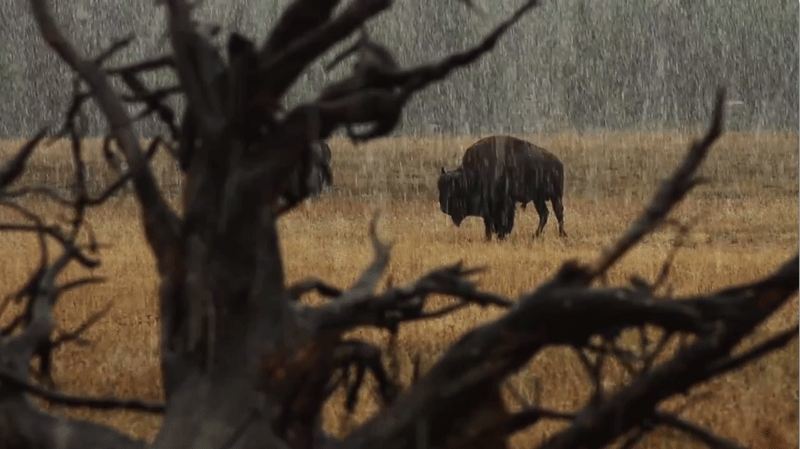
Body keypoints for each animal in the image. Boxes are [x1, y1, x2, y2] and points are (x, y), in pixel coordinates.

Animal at [438, 135, 566, 240]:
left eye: (452, 191)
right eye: (440, 189)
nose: (444, 208)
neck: (470, 177)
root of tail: (558, 163)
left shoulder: (503, 204)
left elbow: (502, 222)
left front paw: (500, 236)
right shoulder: (488, 209)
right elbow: (488, 224)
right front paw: (489, 238)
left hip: (556, 196)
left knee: (558, 213)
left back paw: (562, 235)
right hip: (538, 199)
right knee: (544, 214)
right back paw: (536, 235)